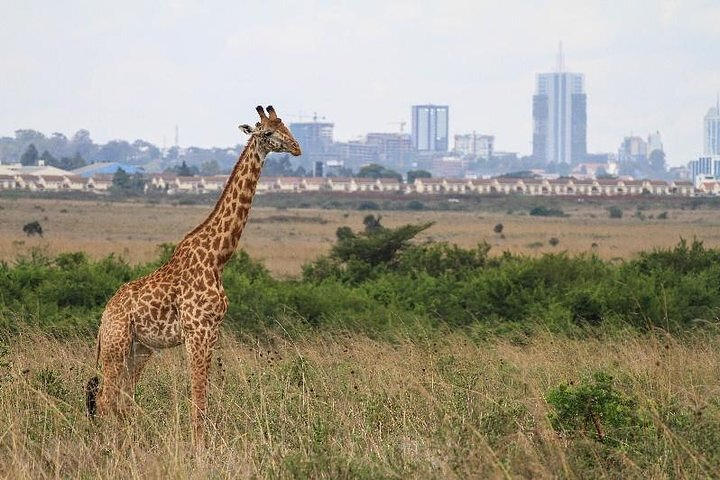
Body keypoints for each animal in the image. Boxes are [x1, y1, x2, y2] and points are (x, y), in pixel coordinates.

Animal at [85, 105, 301, 447]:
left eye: (287, 127)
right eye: (267, 132)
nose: (297, 148)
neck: (217, 258)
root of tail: (104, 316)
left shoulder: (212, 332)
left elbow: (203, 392)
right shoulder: (198, 331)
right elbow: (198, 395)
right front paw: (200, 447)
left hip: (139, 349)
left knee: (123, 398)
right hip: (114, 345)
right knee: (106, 399)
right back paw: (110, 446)